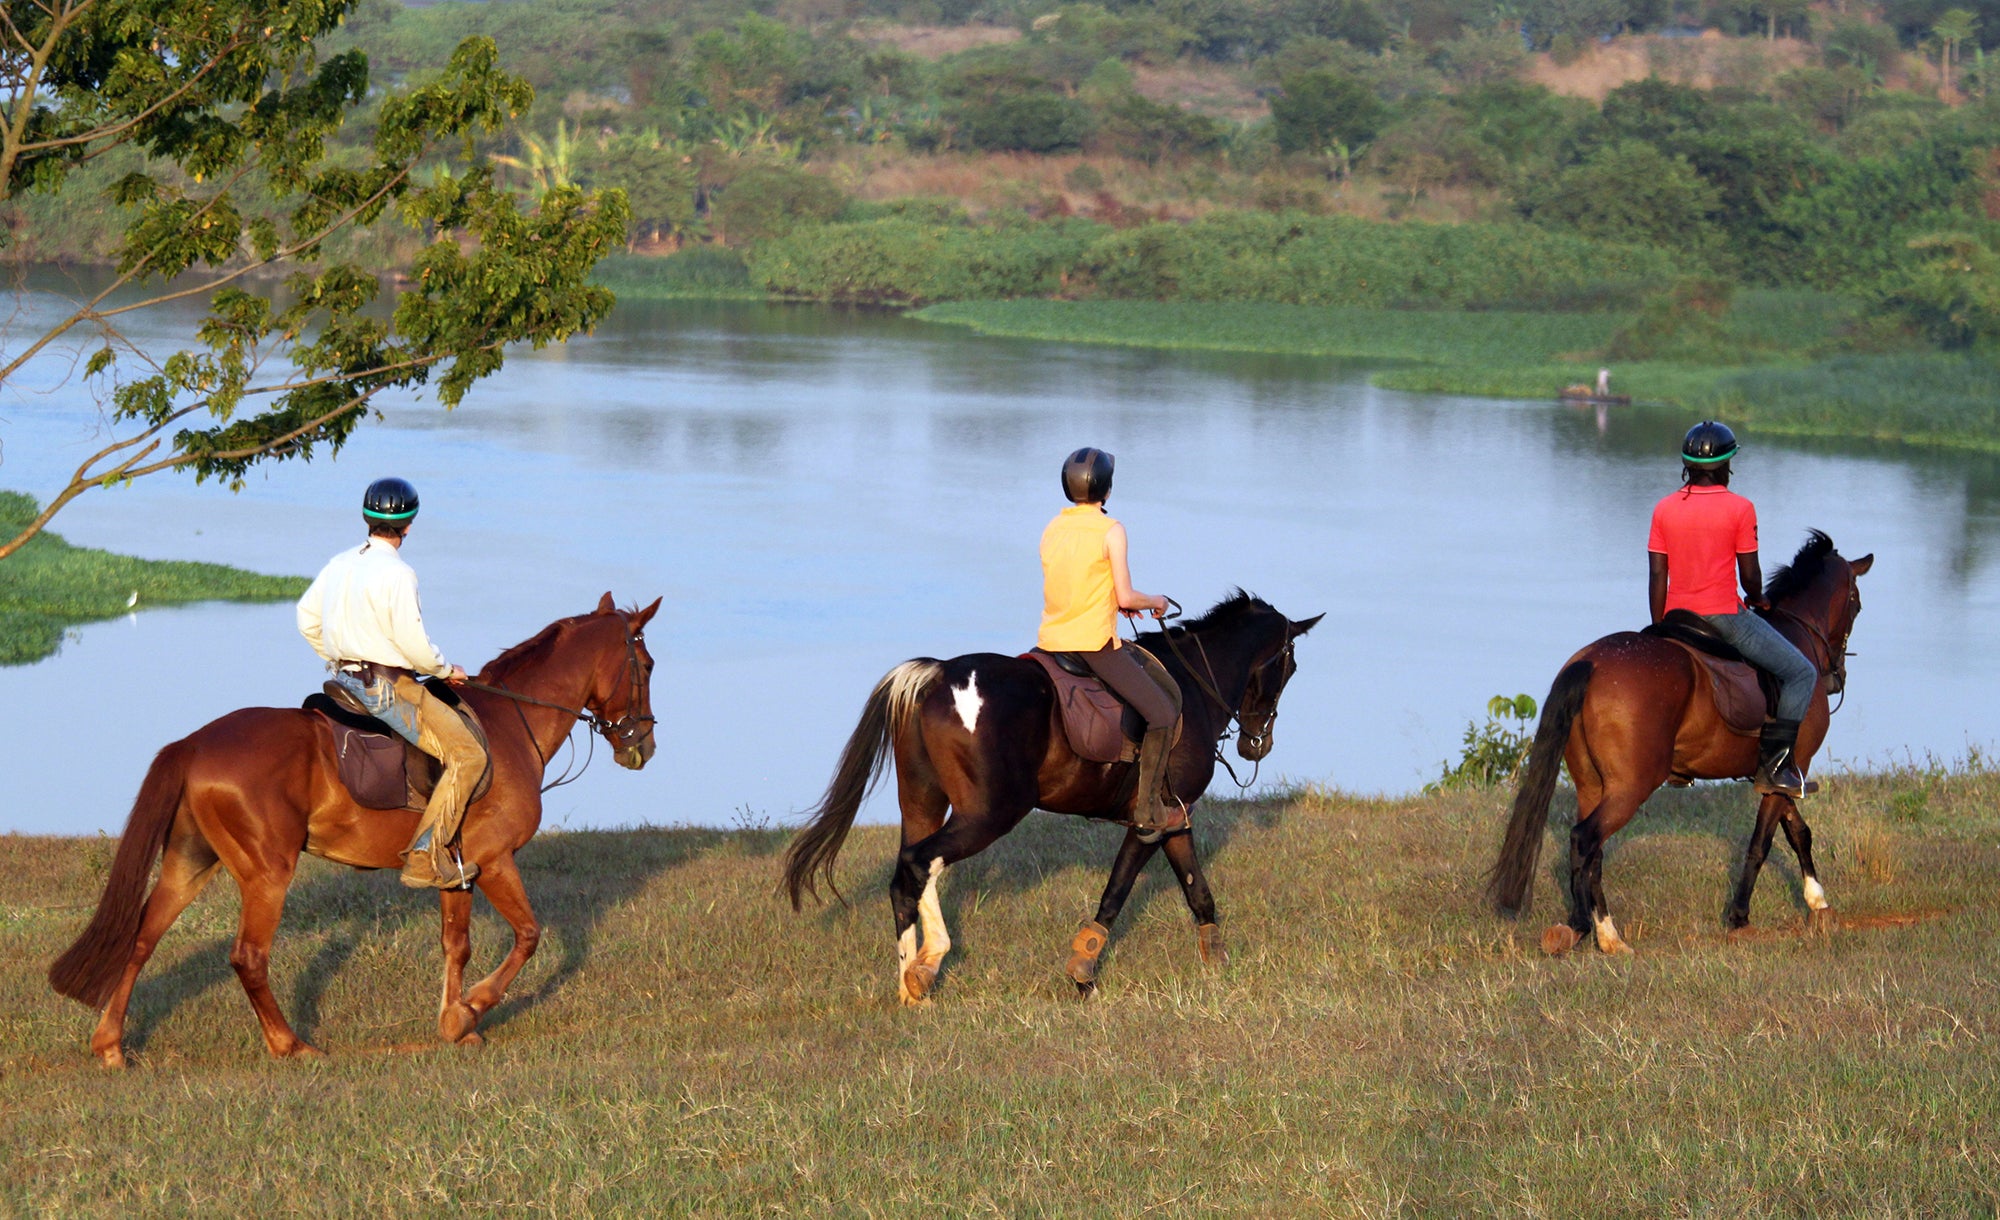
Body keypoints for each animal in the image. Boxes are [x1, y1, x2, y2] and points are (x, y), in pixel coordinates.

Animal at [47, 593, 661, 1066]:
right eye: (648, 665)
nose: (644, 746)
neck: (511, 724)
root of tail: (194, 745)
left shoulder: (455, 870)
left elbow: (456, 945)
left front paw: (454, 1020)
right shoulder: (494, 859)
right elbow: (528, 936)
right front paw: (470, 1012)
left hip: (190, 861)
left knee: (142, 938)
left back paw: (110, 1045)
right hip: (267, 871)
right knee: (247, 956)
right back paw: (290, 1045)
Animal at [782, 591, 1321, 1004]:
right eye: (1290, 665)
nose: (1257, 743)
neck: (1190, 684)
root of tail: (936, 675)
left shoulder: (1176, 816)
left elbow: (1198, 891)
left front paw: (1217, 962)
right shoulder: (1150, 820)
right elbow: (1116, 892)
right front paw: (1083, 972)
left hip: (922, 802)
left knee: (910, 871)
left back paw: (914, 980)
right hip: (990, 812)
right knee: (919, 864)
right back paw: (924, 969)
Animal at [1490, 532, 1871, 954]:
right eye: (1855, 602)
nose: (1837, 676)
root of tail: (1591, 663)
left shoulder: (1778, 773)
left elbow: (1798, 832)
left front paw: (1818, 903)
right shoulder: (1792, 765)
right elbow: (1762, 842)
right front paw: (1740, 917)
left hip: (1592, 784)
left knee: (1590, 851)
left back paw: (1588, 928)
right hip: (1630, 786)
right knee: (1585, 839)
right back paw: (1600, 933)